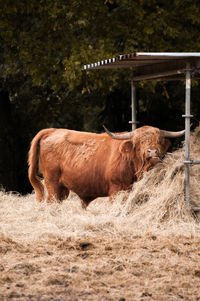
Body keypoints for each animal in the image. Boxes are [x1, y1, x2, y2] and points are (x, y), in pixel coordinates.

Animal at [28, 125, 184, 206]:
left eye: (159, 140)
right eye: (139, 142)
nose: (152, 152)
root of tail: (53, 130)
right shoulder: (116, 189)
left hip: (62, 188)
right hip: (52, 183)